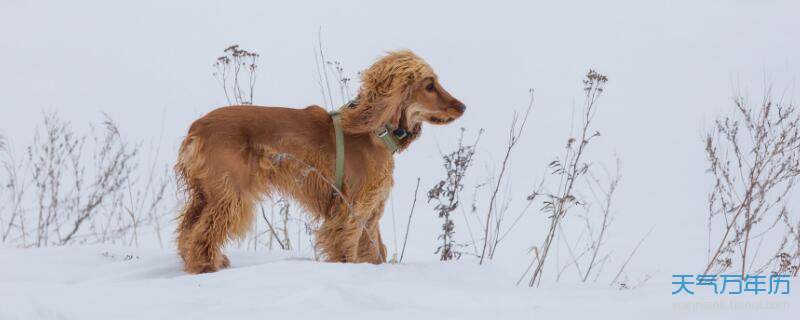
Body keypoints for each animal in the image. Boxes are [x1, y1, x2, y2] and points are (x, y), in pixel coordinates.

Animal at [172, 50, 466, 272]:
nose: (462, 107)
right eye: (429, 85)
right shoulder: (351, 211)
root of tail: (196, 128)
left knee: (188, 229)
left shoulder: (370, 213)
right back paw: (206, 265)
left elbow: (375, 252)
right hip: (231, 193)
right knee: (202, 232)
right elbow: (347, 248)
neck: (375, 132)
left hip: (206, 193)